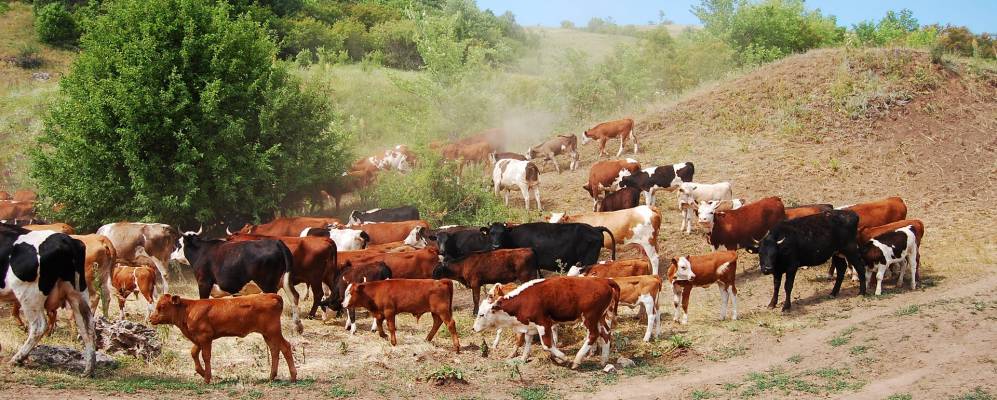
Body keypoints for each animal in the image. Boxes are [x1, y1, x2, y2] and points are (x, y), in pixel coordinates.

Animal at [0, 225, 96, 376]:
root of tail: (66, 240)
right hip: (77, 293)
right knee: (87, 324)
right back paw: (88, 369)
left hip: (29, 295)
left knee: (39, 326)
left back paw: (18, 358)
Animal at [149, 293, 296, 384]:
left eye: (162, 307)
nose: (151, 318)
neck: (188, 310)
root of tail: (271, 295)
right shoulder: (199, 338)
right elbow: (193, 352)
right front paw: (202, 373)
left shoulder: (205, 336)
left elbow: (206, 356)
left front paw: (207, 379)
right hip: (268, 334)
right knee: (275, 350)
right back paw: (272, 376)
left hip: (273, 332)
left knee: (285, 347)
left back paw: (293, 377)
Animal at [170, 231, 302, 333]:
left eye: (178, 244)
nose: (171, 255)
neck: (202, 252)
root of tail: (276, 242)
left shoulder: (204, 283)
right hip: (284, 280)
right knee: (294, 296)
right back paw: (297, 326)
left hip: (268, 285)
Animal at [473, 276, 620, 369]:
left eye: (481, 314)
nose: (473, 329)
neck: (524, 300)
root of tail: (604, 281)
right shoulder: (530, 326)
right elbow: (528, 342)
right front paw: (523, 358)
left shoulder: (543, 323)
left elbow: (547, 344)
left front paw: (563, 357)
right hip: (600, 317)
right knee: (606, 334)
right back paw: (603, 360)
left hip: (590, 318)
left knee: (593, 335)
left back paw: (577, 360)